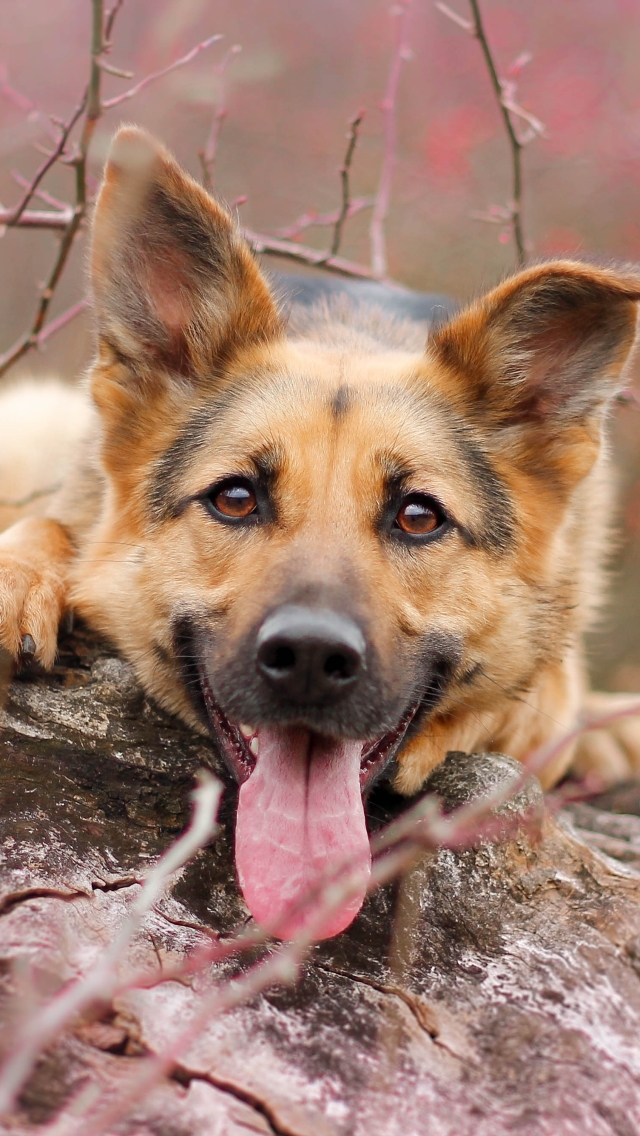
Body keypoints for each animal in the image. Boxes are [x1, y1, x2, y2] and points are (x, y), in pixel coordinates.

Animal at [1, 126, 640, 940]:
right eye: (236, 498)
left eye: (419, 517)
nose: (310, 657)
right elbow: (47, 522)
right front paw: (19, 578)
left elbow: (538, 694)